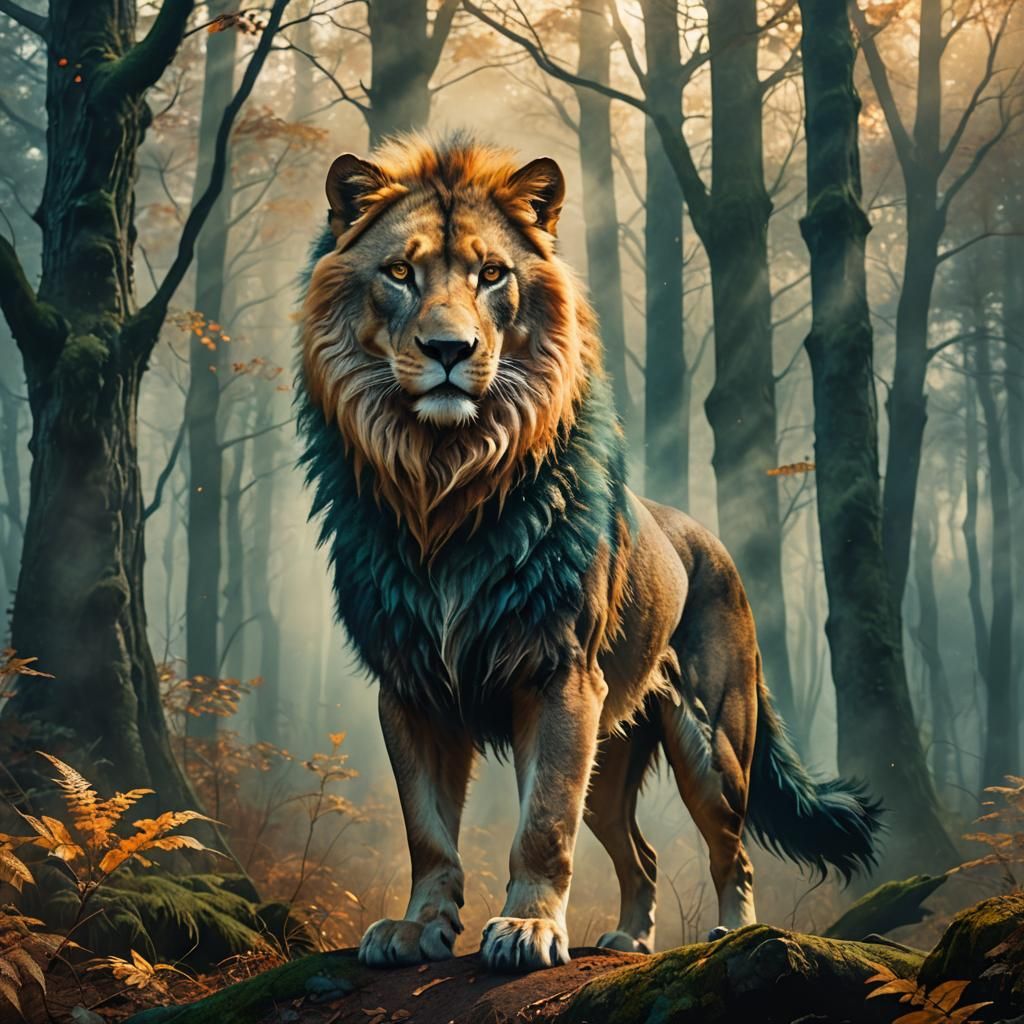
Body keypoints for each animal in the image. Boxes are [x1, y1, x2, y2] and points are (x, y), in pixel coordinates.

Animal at [297, 134, 881, 974]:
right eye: (400, 274)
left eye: (491, 274)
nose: (448, 350)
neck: (445, 483)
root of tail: (712, 542)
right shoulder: (407, 685)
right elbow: (427, 830)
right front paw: (416, 928)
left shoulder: (558, 675)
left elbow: (542, 824)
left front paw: (527, 929)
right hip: (612, 753)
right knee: (642, 855)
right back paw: (630, 938)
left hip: (711, 745)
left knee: (731, 851)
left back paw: (734, 934)